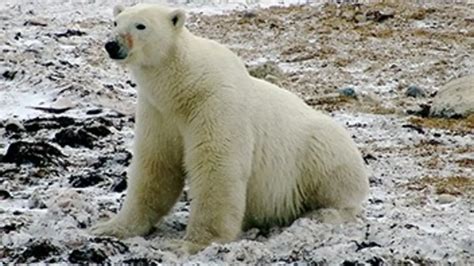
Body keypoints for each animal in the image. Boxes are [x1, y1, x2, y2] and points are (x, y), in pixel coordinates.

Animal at [90, 4, 370, 254]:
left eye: (141, 25)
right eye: (115, 22)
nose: (112, 44)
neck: (183, 87)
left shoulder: (214, 103)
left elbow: (217, 167)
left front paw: (192, 244)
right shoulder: (158, 112)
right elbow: (156, 167)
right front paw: (110, 228)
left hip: (320, 151)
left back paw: (321, 213)